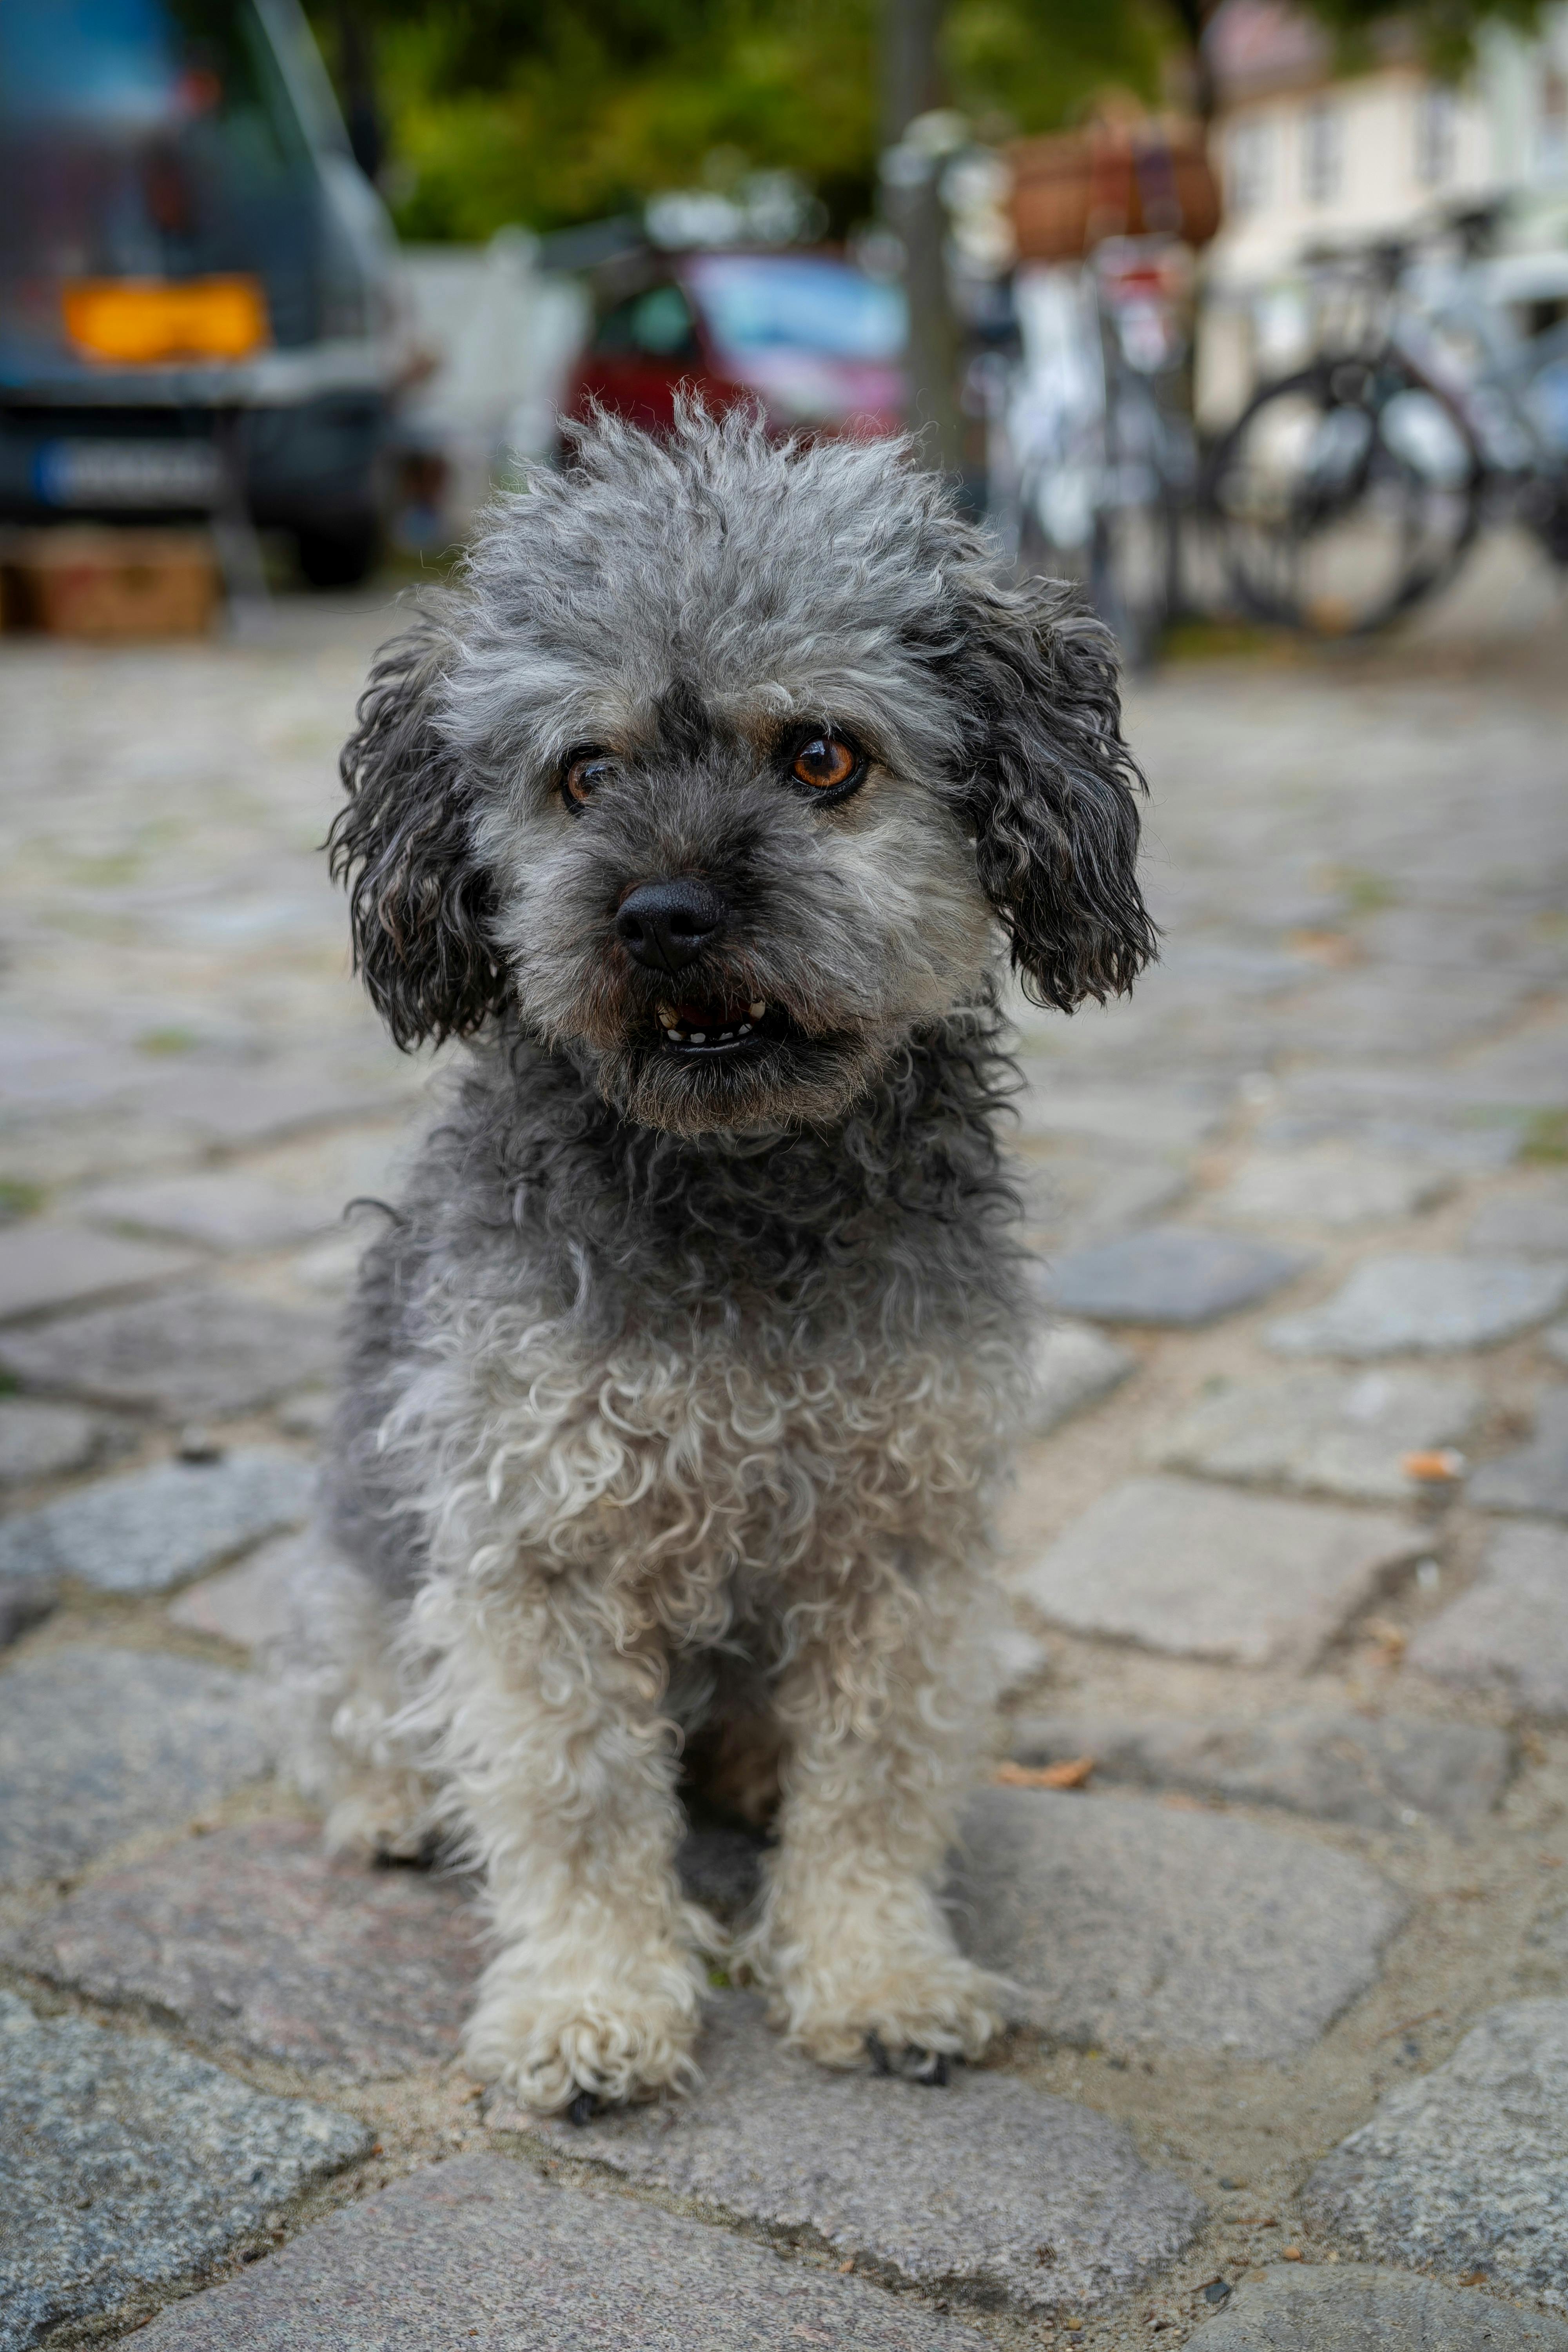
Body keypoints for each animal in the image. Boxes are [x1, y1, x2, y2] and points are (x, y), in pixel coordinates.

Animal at [285, 409, 1152, 2136]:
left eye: (820, 755)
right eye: (584, 772)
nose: (664, 915)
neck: (742, 1197)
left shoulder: (901, 1543)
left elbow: (876, 1779)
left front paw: (875, 1976)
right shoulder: (535, 1548)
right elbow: (567, 1797)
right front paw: (590, 2004)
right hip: (368, 1551)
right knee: (367, 1692)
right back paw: (394, 1792)